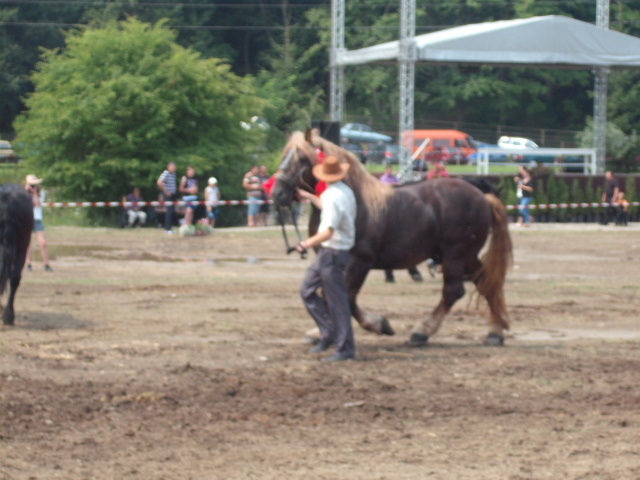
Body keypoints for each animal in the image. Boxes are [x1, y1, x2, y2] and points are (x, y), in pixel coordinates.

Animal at [272, 127, 512, 344]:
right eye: (284, 155)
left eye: (303, 159)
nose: (277, 193)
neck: (352, 201)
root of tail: (482, 197)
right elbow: (332, 295)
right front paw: (319, 332)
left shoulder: (359, 262)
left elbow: (346, 296)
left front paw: (379, 325)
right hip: (465, 256)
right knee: (485, 282)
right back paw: (495, 332)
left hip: (456, 256)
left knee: (453, 291)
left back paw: (422, 331)